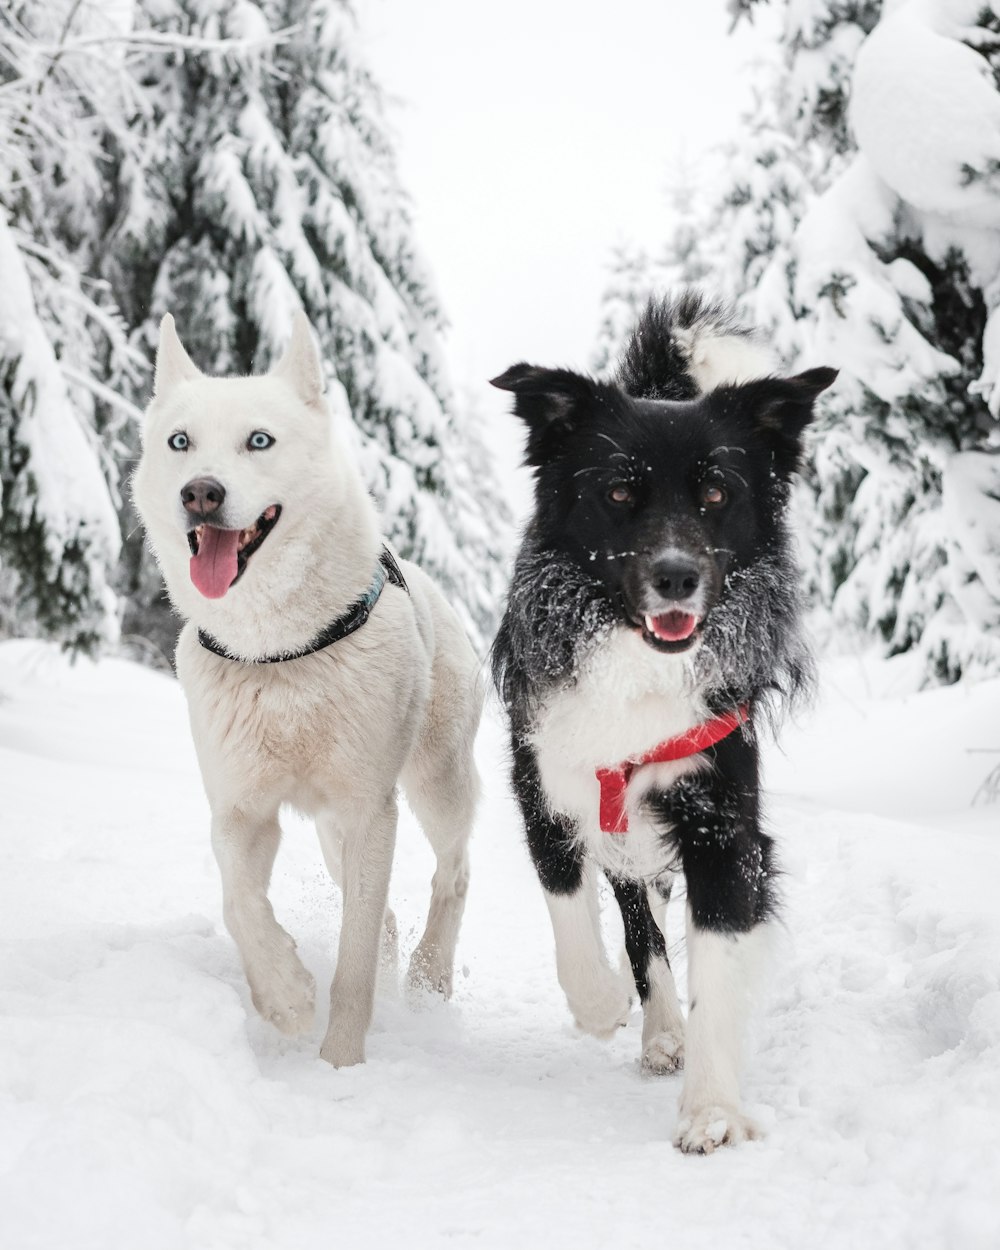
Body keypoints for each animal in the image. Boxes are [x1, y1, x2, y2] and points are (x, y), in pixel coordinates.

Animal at [133, 312, 485, 1065]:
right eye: (180, 442)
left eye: (259, 440)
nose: (200, 491)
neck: (279, 652)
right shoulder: (239, 809)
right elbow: (239, 902)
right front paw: (287, 996)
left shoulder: (370, 811)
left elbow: (353, 961)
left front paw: (340, 1062)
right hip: (331, 833)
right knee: (385, 915)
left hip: (434, 784)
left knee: (453, 870)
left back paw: (429, 976)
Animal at [487, 290, 830, 1150]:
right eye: (617, 493)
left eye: (715, 495)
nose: (676, 577)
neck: (637, 664)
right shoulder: (545, 785)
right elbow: (573, 908)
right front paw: (602, 1003)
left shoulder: (720, 824)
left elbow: (719, 959)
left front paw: (713, 1110)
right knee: (638, 921)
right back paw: (655, 1026)